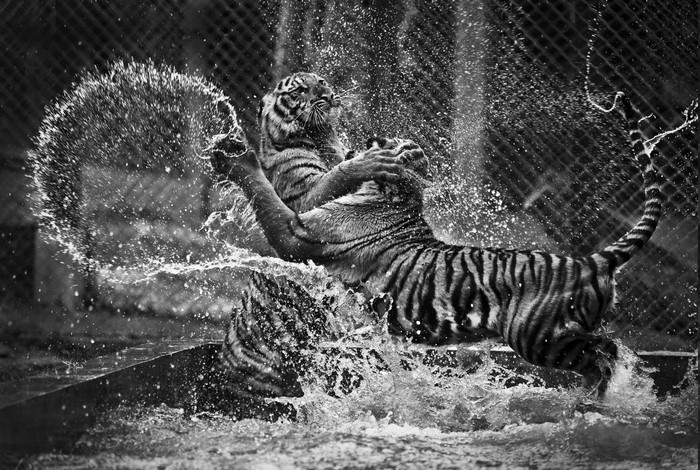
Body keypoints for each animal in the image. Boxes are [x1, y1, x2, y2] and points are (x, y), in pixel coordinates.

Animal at [208, 77, 661, 396]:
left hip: (540, 338)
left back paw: (600, 398)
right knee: (609, 350)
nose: (330, 95)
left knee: (605, 353)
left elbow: (270, 196)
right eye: (301, 88)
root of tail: (591, 260)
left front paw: (237, 155)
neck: (400, 196)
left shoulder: (300, 233)